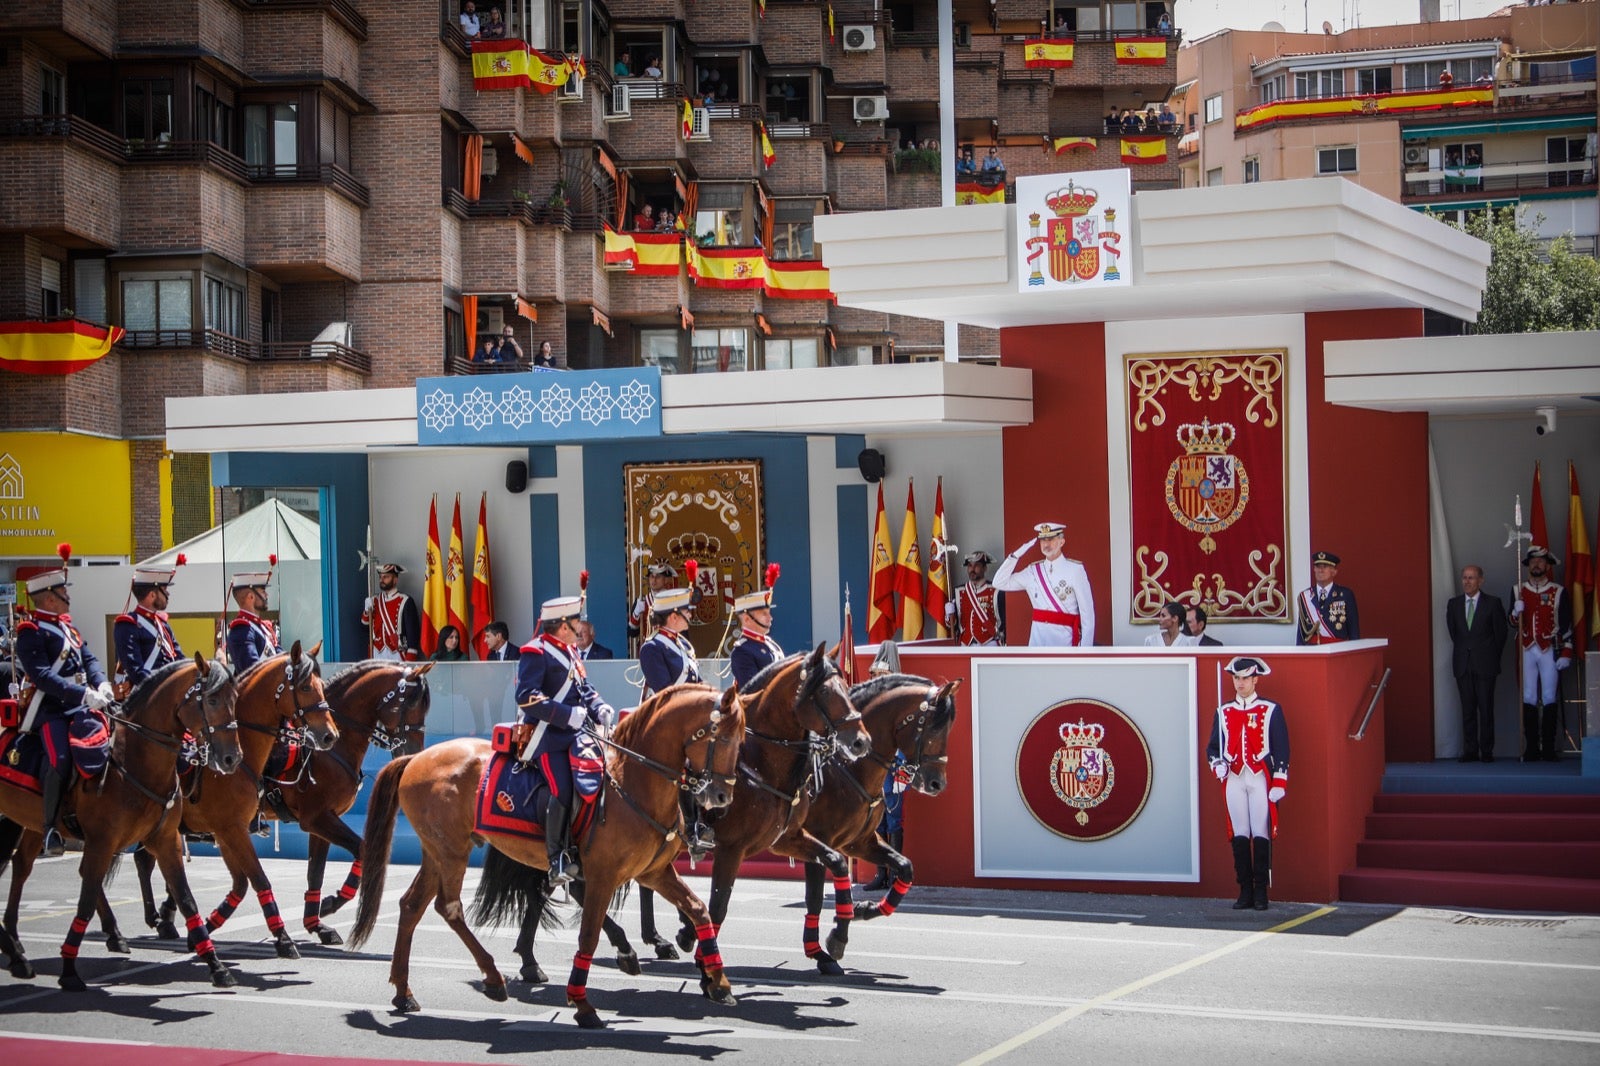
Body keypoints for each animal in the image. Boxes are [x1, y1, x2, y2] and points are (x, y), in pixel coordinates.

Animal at [0, 653, 241, 992]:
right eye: (213, 699)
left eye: (235, 698)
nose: (232, 758)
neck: (136, 760)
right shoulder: (103, 841)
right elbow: (85, 901)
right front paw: (69, 971)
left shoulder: (166, 840)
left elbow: (186, 899)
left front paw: (216, 965)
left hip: (32, 824)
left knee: (21, 867)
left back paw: (16, 949)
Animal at [131, 643, 340, 960]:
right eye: (305, 686)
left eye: (321, 685)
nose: (329, 735)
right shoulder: (231, 829)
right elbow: (258, 879)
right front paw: (283, 938)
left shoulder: (228, 831)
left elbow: (242, 883)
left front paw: (205, 928)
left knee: (142, 860)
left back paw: (160, 919)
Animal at [348, 675, 742, 1024]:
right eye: (721, 737)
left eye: (741, 739)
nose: (723, 796)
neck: (632, 781)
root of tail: (415, 759)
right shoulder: (602, 876)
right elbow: (589, 933)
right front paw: (582, 1004)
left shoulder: (654, 872)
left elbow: (699, 909)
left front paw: (719, 982)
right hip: (451, 853)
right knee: (449, 907)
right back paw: (493, 977)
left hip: (437, 852)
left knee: (411, 905)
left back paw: (404, 992)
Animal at [796, 672, 953, 973]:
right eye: (933, 727)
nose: (936, 784)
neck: (845, 764)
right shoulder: (817, 841)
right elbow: (816, 897)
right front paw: (825, 948)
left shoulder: (859, 842)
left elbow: (905, 868)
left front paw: (861, 911)